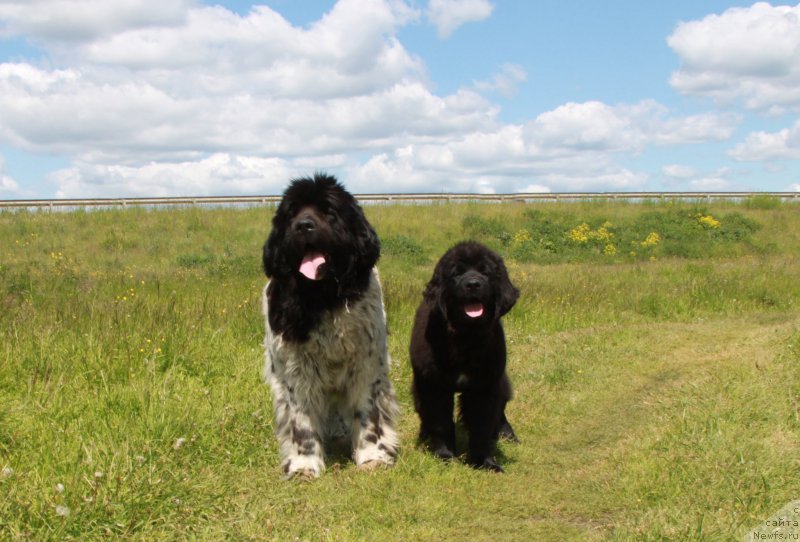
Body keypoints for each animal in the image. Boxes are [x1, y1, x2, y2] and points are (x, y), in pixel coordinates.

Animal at [262, 174, 400, 480]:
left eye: (329, 211)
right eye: (292, 214)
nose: (303, 225)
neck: (323, 297)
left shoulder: (366, 365)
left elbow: (369, 413)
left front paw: (372, 455)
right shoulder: (295, 370)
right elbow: (301, 422)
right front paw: (304, 464)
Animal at [412, 242, 520, 472]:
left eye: (485, 272)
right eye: (457, 273)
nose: (473, 284)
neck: (465, 337)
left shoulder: (485, 385)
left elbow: (481, 425)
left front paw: (485, 462)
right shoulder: (434, 385)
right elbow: (440, 422)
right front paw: (444, 455)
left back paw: (507, 434)